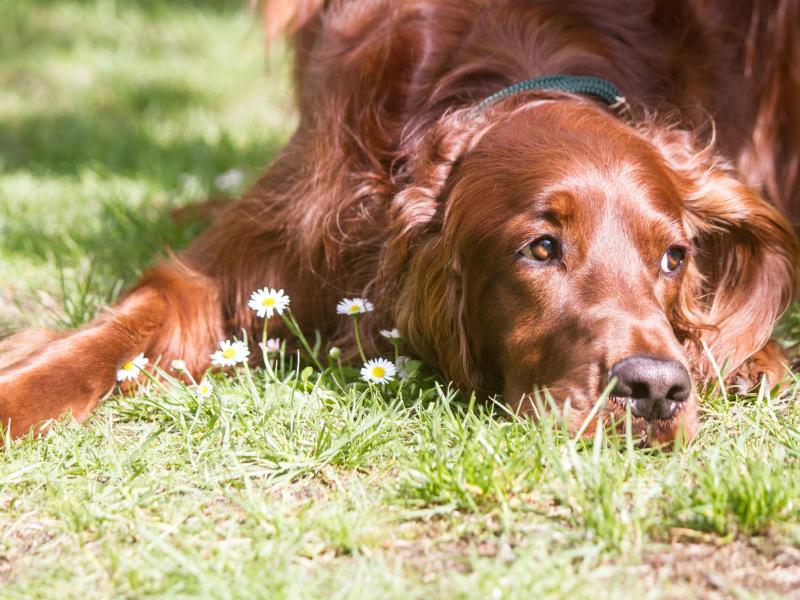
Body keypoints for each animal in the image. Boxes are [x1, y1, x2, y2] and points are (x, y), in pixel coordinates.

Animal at [1, 0, 800, 446]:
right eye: (541, 248)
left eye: (673, 258)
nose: (656, 390)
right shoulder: (256, 251)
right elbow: (115, 332)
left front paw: (739, 354)